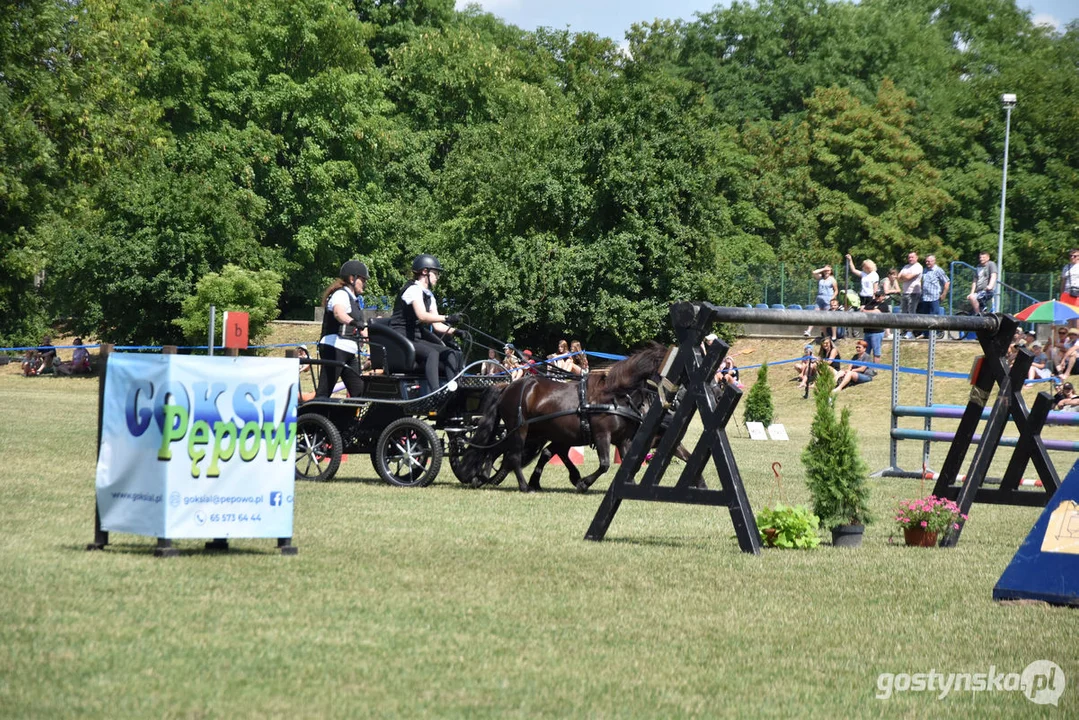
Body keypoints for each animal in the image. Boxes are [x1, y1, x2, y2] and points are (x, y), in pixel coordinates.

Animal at [457, 345, 690, 492]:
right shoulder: (602, 434)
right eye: (679, 370)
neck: (615, 396)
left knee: (496, 451)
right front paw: (583, 483)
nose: (683, 397)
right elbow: (605, 464)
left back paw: (484, 477)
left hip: (530, 431)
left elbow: (628, 464)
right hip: (520, 429)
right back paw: (523, 486)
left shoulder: (623, 440)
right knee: (512, 456)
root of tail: (508, 386)